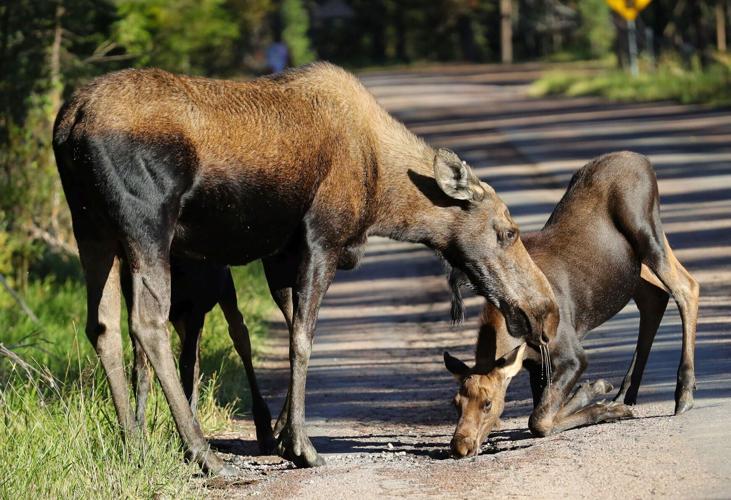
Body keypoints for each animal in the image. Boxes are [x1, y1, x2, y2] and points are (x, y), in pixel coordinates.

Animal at [52, 62, 559, 474]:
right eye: (507, 231)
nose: (546, 311)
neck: (382, 190)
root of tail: (69, 124)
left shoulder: (280, 254)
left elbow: (293, 324)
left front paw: (279, 435)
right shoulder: (320, 238)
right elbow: (303, 337)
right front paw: (300, 446)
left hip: (91, 229)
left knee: (103, 326)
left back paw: (134, 444)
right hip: (146, 223)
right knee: (147, 324)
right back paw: (202, 454)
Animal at [444, 151, 699, 458]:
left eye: (488, 403)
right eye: (455, 402)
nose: (460, 446)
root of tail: (642, 160)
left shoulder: (572, 354)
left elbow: (539, 420)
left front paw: (597, 397)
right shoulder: (536, 365)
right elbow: (543, 407)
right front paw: (601, 398)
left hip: (648, 231)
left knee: (686, 287)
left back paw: (683, 393)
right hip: (633, 267)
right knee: (655, 297)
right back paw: (626, 393)